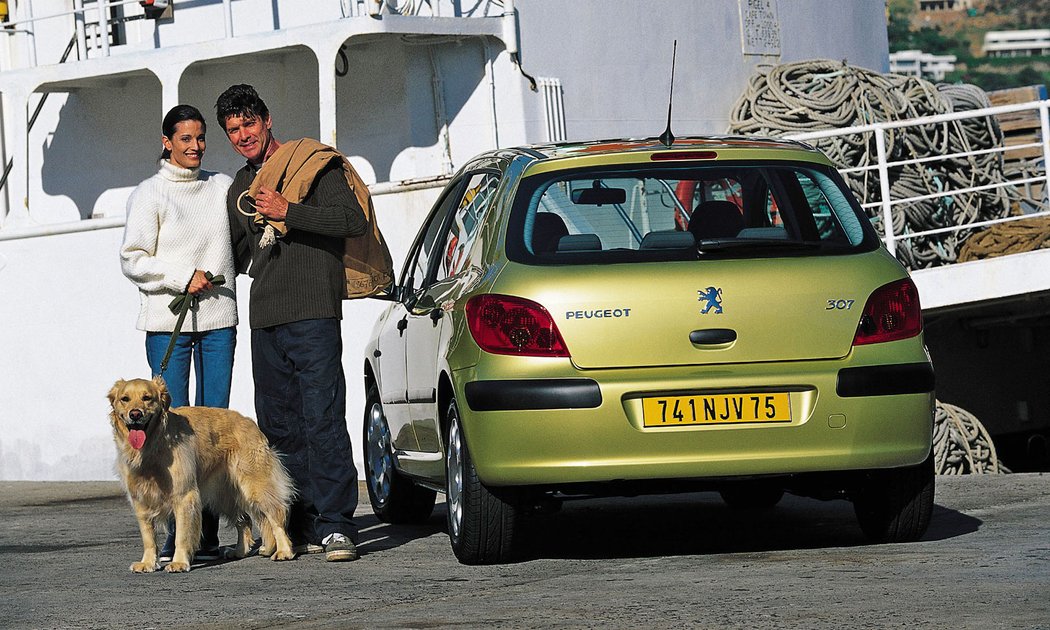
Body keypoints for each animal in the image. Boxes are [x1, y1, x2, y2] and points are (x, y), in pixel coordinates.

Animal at [108, 375, 296, 575]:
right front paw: (148, 562)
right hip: (224, 493)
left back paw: (284, 551)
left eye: (147, 398)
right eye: (125, 399)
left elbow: (182, 535)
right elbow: (148, 537)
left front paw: (179, 562)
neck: (154, 445)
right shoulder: (140, 499)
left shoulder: (184, 495)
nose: (135, 414)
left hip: (255, 486)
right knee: (244, 520)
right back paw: (240, 551)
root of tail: (250, 422)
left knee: (276, 517)